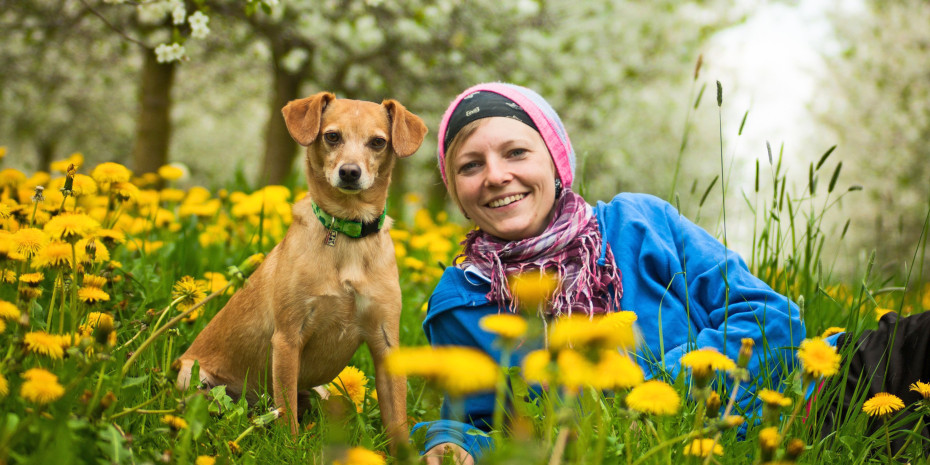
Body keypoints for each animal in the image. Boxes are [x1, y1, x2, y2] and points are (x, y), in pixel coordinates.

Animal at [176, 91, 426, 450]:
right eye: (331, 136)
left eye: (378, 142)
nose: (349, 172)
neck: (347, 234)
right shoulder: (287, 338)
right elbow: (287, 413)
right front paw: (291, 448)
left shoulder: (386, 342)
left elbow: (398, 417)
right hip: (192, 380)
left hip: (328, 395)